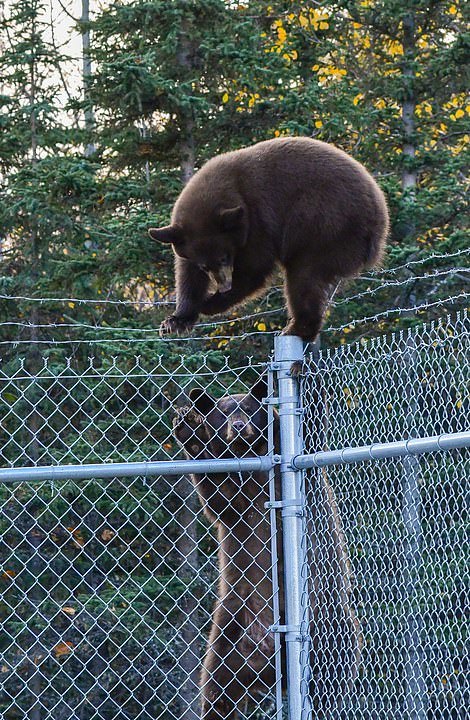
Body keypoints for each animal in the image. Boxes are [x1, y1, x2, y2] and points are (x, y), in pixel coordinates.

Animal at [151, 138, 390, 340]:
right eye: (205, 266)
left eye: (224, 257)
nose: (225, 286)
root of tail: (380, 222)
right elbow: (188, 275)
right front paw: (175, 321)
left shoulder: (259, 221)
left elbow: (255, 269)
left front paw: (210, 304)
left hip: (327, 229)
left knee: (304, 278)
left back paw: (297, 328)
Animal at [173, 380, 360, 716]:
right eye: (224, 413)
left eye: (249, 409)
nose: (238, 426)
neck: (250, 455)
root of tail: (267, 664)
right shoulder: (238, 505)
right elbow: (217, 494)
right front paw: (188, 426)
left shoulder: (291, 472)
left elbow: (310, 425)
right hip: (228, 630)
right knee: (217, 688)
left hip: (326, 629)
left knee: (327, 686)